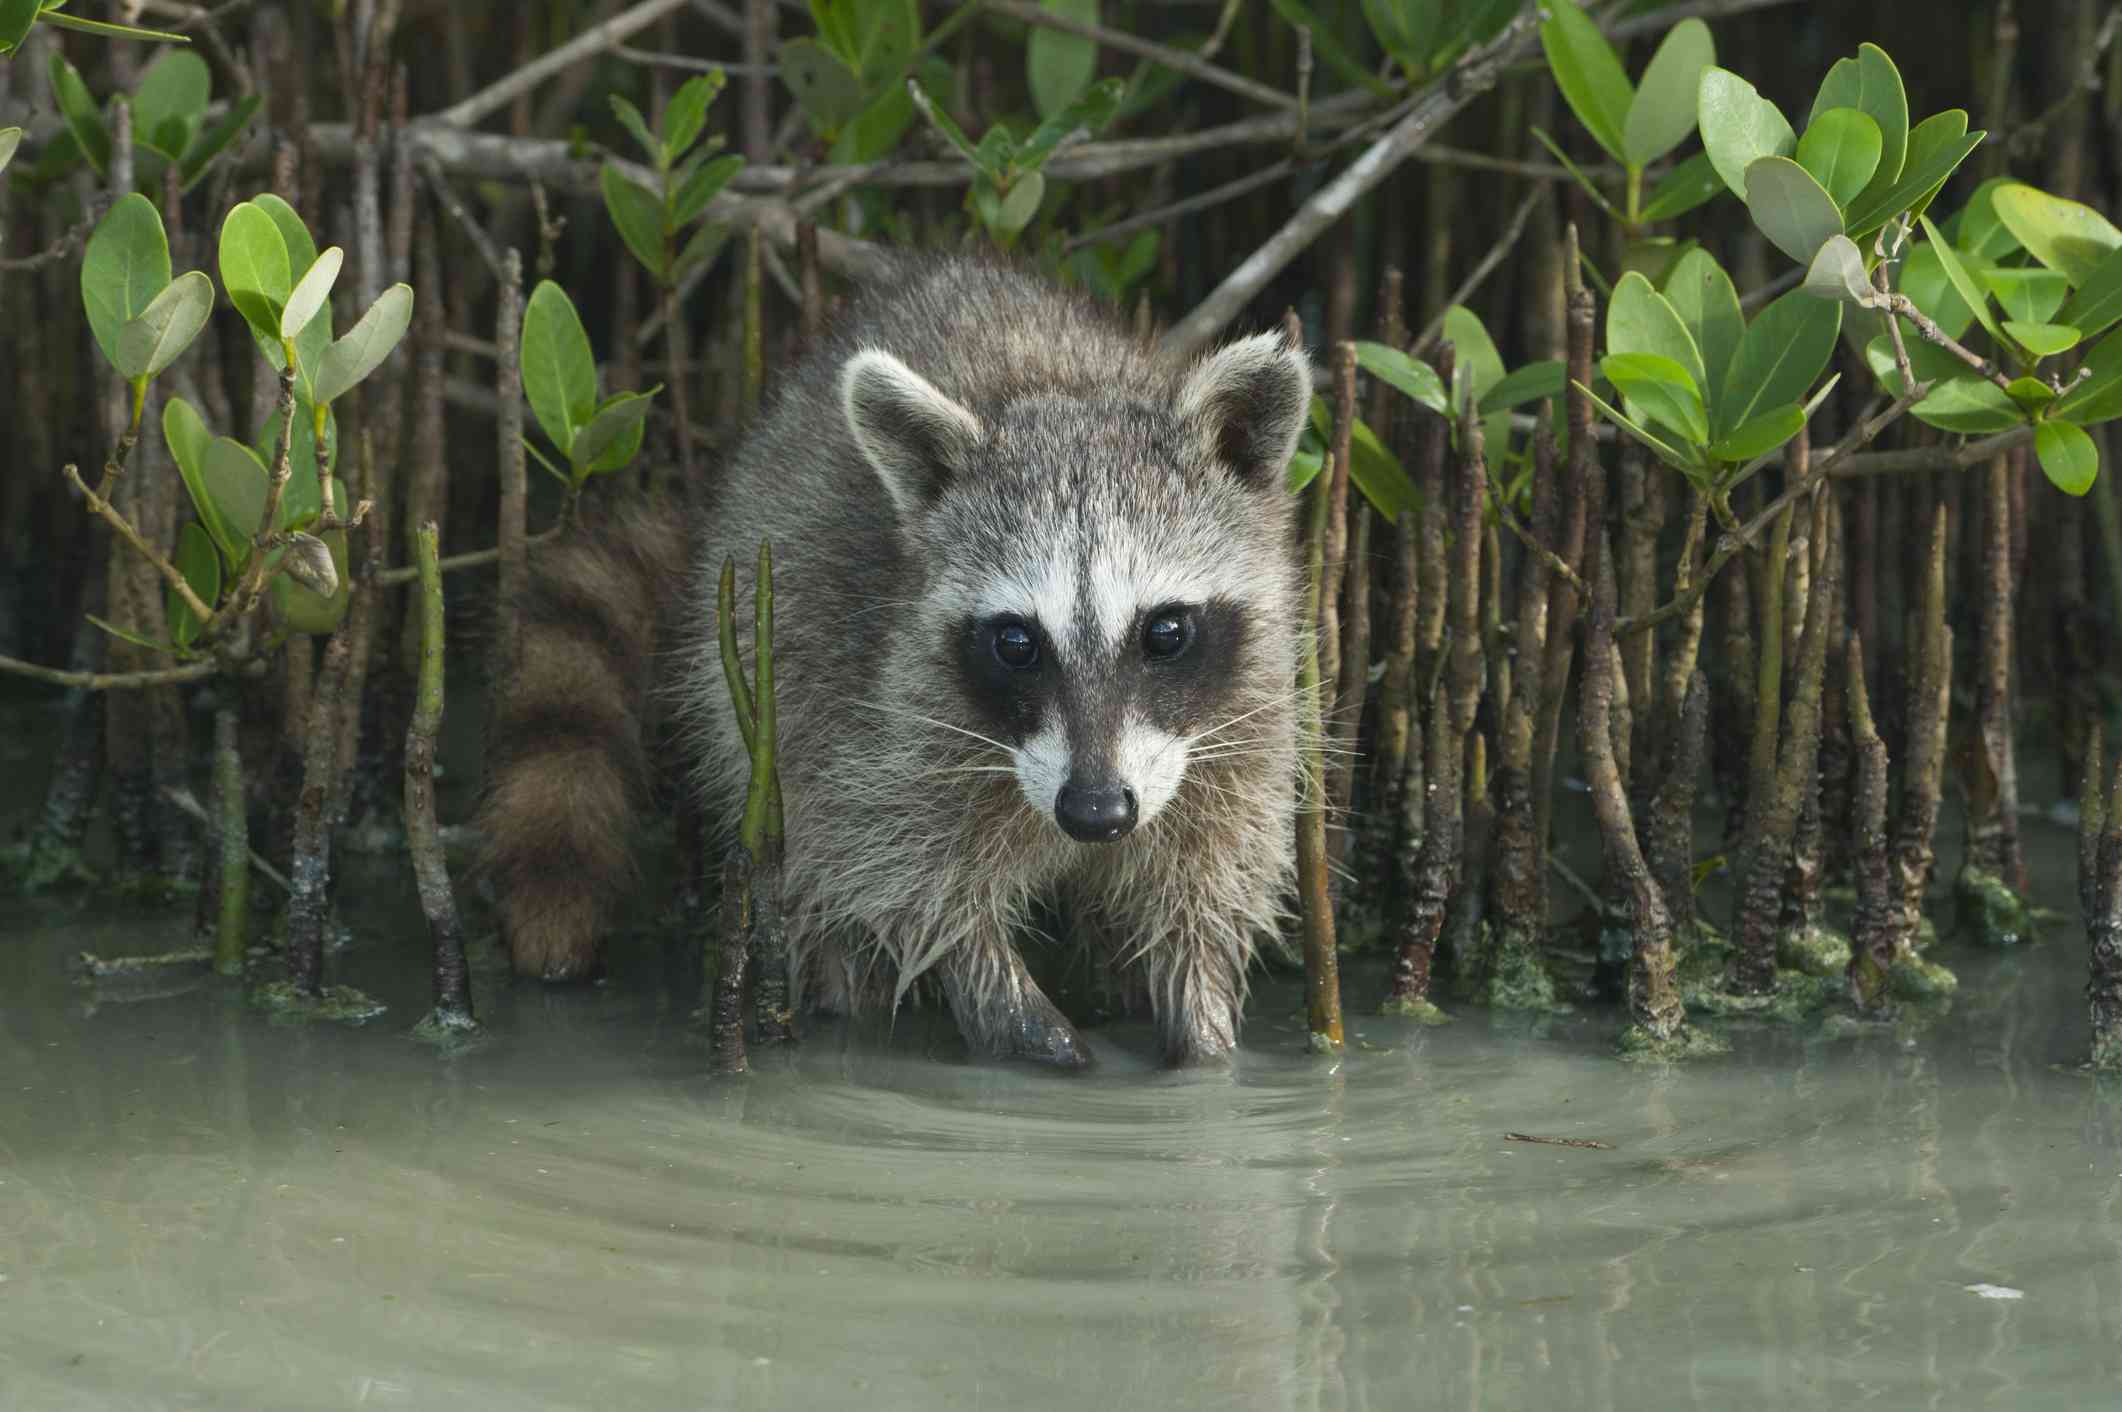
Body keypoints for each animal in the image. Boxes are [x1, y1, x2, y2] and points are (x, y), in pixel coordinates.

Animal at [479, 253, 1307, 1061]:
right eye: (1017, 644)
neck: (1058, 394)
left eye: (1164, 632)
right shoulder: (888, 717)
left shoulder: (1247, 720)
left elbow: (1207, 891)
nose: (1095, 812)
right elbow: (905, 882)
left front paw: (1204, 1036)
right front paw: (1017, 1017)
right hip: (765, 668)